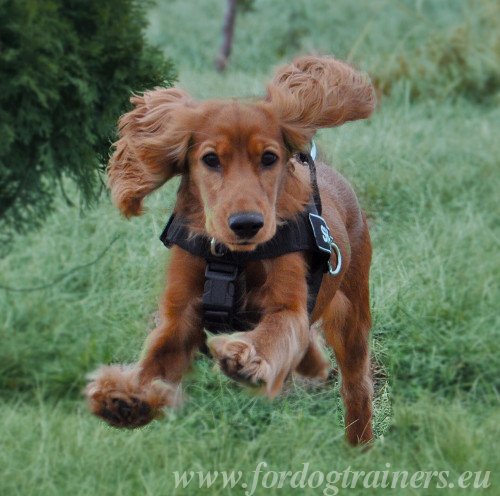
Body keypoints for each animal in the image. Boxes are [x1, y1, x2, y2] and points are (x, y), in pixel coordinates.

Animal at [86, 56, 376, 444]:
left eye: (269, 158)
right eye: (211, 160)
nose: (247, 224)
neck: (233, 258)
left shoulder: (288, 308)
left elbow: (277, 331)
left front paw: (248, 359)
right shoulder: (181, 315)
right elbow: (157, 357)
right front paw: (127, 396)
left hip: (352, 315)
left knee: (356, 384)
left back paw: (360, 444)